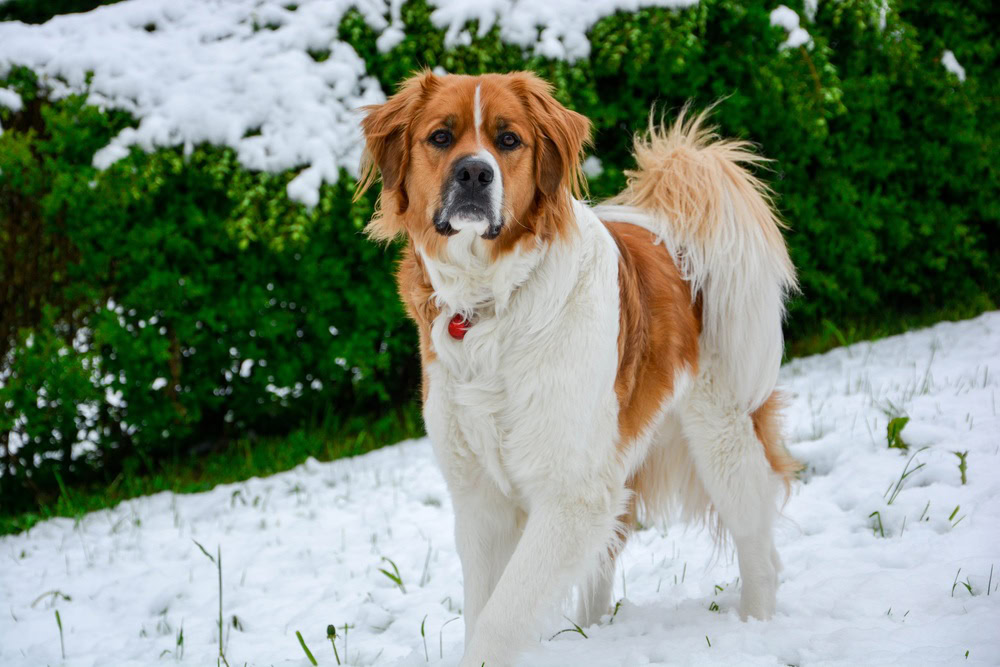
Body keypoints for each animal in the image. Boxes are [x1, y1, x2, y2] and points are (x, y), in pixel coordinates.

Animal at [356, 70, 800, 664]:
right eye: (441, 137)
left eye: (509, 140)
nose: (474, 172)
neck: (492, 303)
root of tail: (671, 229)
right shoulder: (482, 501)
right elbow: (484, 608)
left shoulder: (571, 493)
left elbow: (501, 620)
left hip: (723, 438)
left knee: (759, 550)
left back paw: (756, 629)